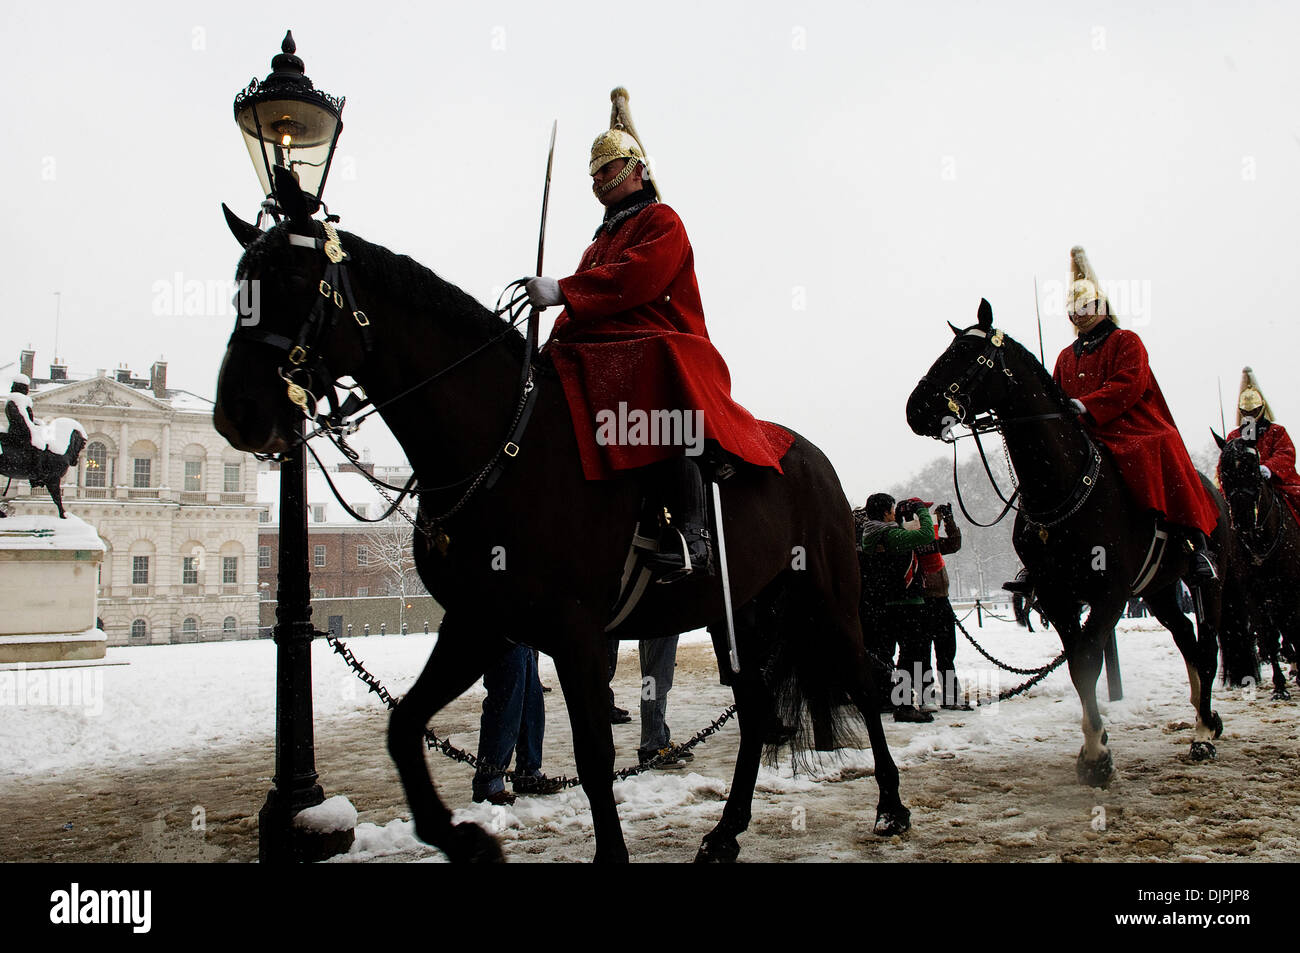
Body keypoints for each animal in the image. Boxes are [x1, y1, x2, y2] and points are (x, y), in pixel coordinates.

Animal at [213, 171, 904, 863]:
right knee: (757, 711)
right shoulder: (480, 624)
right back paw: (725, 831)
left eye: (293, 279)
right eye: (241, 283)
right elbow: (403, 725)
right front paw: (463, 836)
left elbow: (595, 757)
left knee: (862, 683)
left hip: (826, 598)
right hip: (737, 615)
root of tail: (810, 457)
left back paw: (890, 807)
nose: (237, 414)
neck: (501, 443)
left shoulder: (574, 631)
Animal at [904, 301, 1227, 785]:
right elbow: (1077, 666)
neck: (1059, 485)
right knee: (1187, 637)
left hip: (1207, 582)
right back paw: (1201, 715)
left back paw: (1204, 729)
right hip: (1159, 589)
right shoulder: (1057, 595)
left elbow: (1089, 659)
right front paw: (1095, 745)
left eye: (967, 353)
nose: (915, 408)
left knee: (1206, 644)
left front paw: (1096, 754)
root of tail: (1212, 488)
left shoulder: (1110, 593)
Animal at [1211, 434, 1294, 696]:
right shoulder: (1253, 592)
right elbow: (1267, 633)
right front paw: (1279, 685)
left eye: (1253, 468)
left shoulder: (1289, 587)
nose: (1242, 518)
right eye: (1224, 471)